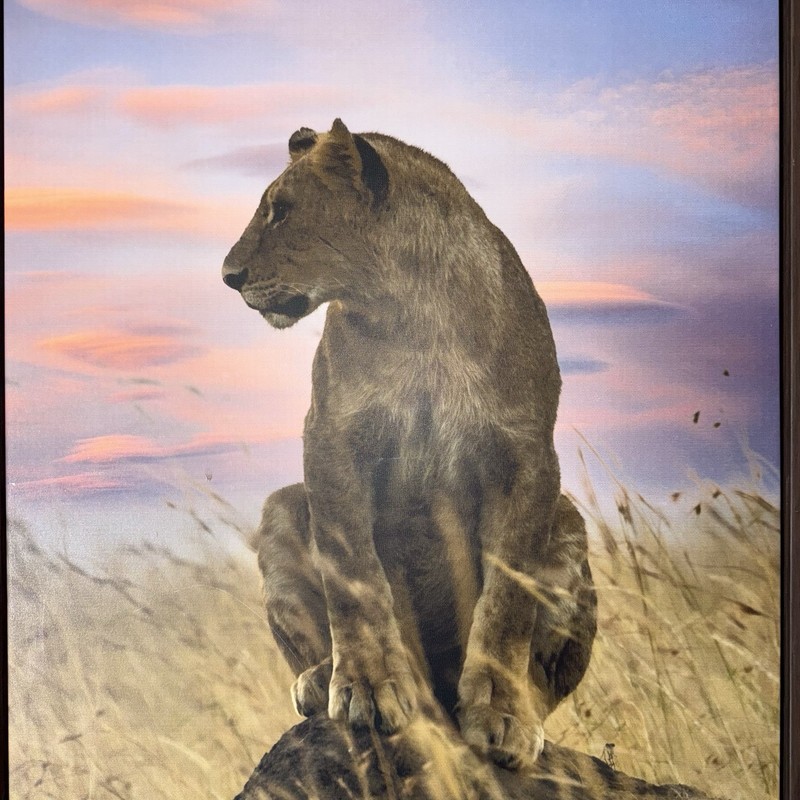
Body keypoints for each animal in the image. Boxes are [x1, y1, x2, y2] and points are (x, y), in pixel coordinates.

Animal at [222, 119, 596, 770]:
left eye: (282, 210)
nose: (227, 274)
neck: (412, 310)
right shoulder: (332, 438)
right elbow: (356, 579)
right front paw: (369, 690)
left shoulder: (527, 456)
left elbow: (507, 598)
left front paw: (502, 716)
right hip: (281, 507)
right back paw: (321, 682)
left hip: (570, 522)